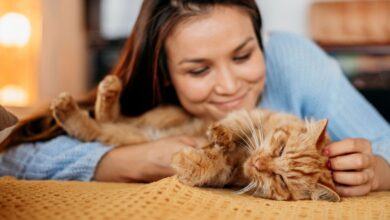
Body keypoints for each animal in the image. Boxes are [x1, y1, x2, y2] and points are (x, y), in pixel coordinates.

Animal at [51, 75, 338, 202]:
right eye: (280, 149)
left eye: (281, 181)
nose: (258, 164)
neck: (244, 155)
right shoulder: (250, 114)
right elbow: (233, 126)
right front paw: (220, 135)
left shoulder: (227, 174)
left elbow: (211, 166)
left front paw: (191, 161)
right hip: (162, 116)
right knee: (108, 116)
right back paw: (106, 89)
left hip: (129, 134)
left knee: (96, 127)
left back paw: (70, 109)